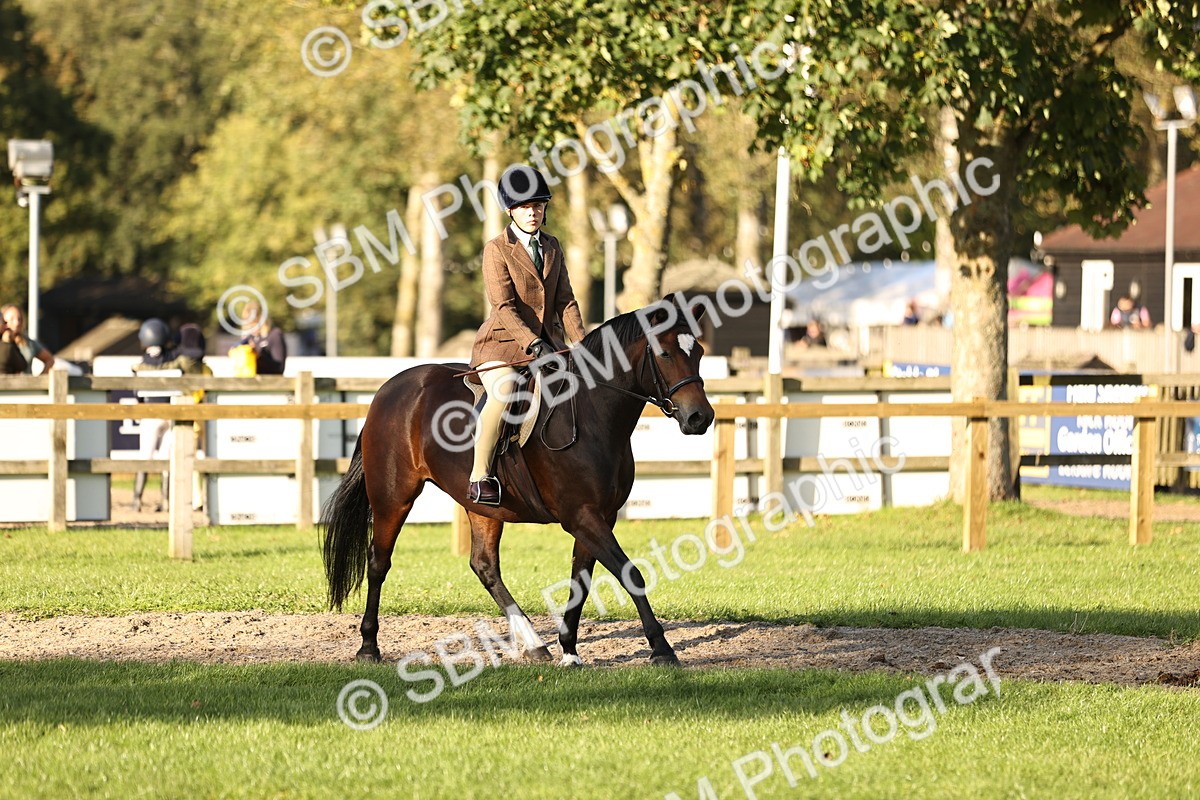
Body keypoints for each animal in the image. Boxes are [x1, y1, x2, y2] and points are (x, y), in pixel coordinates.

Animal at [321, 297, 714, 666]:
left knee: (484, 566)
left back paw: (534, 644)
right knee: (378, 562)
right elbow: (629, 573)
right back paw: (368, 646)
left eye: (698, 352)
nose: (700, 417)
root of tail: (388, 390)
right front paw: (661, 649)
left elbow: (581, 580)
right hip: (393, 496)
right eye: (664, 354)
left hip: (482, 506)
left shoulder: (600, 516)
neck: (592, 414)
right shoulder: (581, 516)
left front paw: (569, 650)